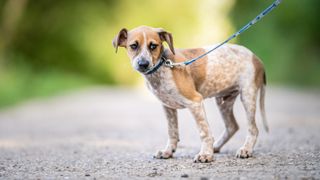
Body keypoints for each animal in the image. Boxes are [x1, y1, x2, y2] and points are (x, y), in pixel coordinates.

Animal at [112, 25, 268, 163]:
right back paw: (216, 146)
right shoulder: (168, 107)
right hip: (224, 101)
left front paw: (205, 155)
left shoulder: (195, 101)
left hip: (247, 96)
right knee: (232, 126)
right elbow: (172, 132)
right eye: (133, 46)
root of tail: (257, 58)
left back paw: (246, 150)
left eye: (153, 46)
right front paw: (168, 152)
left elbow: (204, 132)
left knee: (253, 129)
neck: (162, 67)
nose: (143, 64)